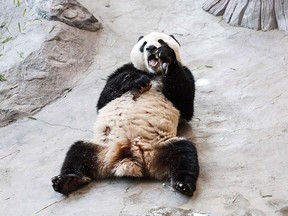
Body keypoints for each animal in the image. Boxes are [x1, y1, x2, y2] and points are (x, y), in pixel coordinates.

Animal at [51, 32, 199, 197]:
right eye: (144, 44)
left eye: (161, 41)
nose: (151, 48)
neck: (152, 73)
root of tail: (129, 156)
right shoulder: (123, 70)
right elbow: (105, 97)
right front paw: (136, 80)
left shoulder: (185, 74)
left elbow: (185, 102)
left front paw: (166, 57)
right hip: (101, 148)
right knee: (77, 153)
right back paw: (66, 181)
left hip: (160, 146)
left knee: (184, 153)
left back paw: (183, 185)